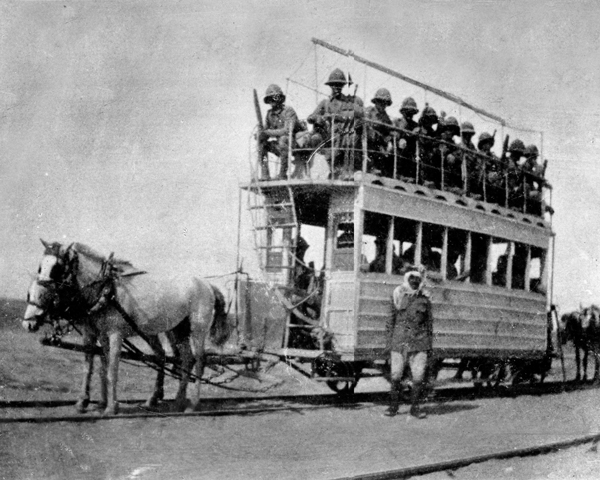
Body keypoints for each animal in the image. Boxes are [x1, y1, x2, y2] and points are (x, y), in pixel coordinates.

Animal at [24, 242, 230, 414]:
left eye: (57, 268)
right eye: (40, 266)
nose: (28, 323)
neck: (106, 289)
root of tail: (207, 284)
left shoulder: (116, 334)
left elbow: (112, 369)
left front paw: (110, 407)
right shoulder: (98, 333)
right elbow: (95, 367)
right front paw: (88, 402)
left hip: (198, 329)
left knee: (200, 360)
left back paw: (192, 404)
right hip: (178, 329)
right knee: (186, 359)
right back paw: (177, 401)